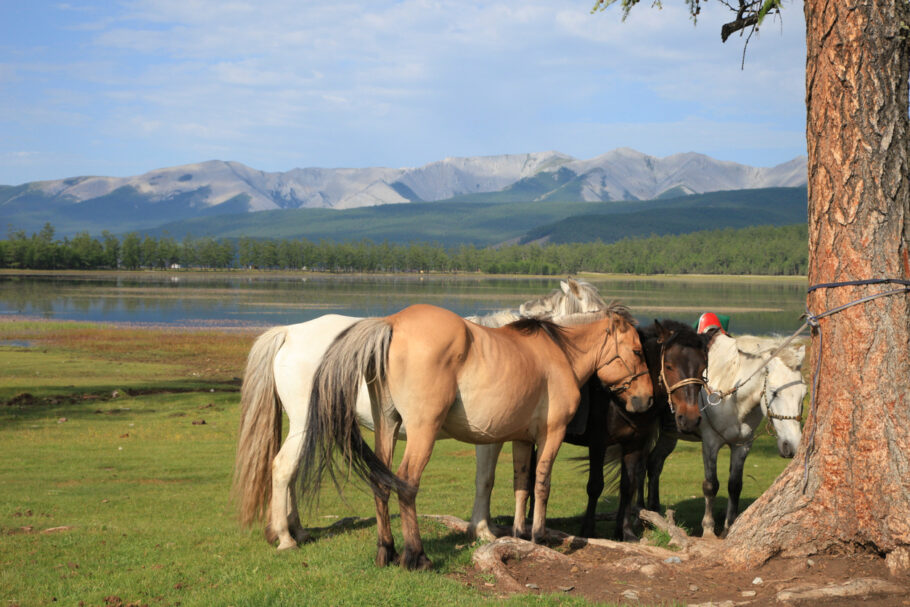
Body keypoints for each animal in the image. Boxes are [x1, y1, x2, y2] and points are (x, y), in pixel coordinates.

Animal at [233, 280, 612, 552]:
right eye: (598, 311)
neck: (518, 352)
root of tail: (289, 332)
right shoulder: (490, 438)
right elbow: (485, 480)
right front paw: (483, 530)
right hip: (305, 425)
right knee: (283, 468)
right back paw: (286, 538)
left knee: (290, 472)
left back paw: (296, 529)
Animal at [298, 304, 648, 568]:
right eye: (636, 350)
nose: (646, 399)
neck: (559, 355)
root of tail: (393, 324)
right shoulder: (552, 434)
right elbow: (542, 484)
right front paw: (538, 536)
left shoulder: (522, 439)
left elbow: (521, 484)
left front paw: (519, 534)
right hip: (422, 432)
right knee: (407, 483)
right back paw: (417, 556)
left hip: (387, 426)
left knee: (381, 482)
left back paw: (387, 551)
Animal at [644, 334, 808, 540]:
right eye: (775, 392)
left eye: (804, 394)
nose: (792, 446)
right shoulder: (710, 444)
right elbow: (711, 485)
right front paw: (708, 529)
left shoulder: (742, 445)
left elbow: (734, 485)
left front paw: (729, 527)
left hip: (669, 435)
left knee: (654, 463)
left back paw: (653, 513)